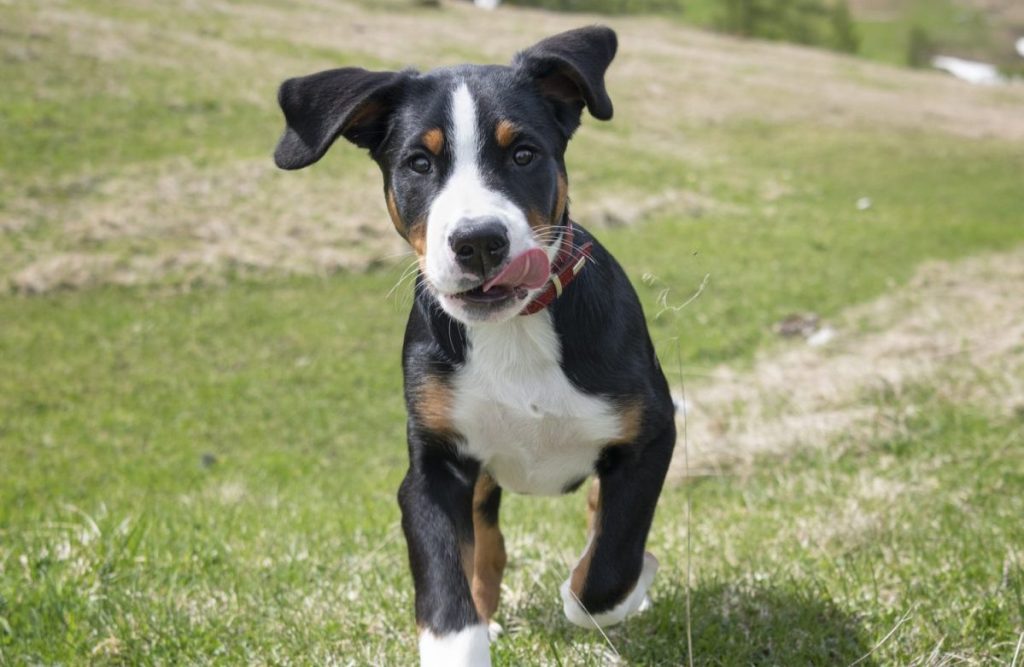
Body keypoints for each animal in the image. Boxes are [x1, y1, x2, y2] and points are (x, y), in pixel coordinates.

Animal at [272, 26, 675, 667]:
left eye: (523, 154)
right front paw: (465, 635)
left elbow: (607, 569)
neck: (512, 331)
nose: (479, 242)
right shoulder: (433, 467)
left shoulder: (650, 434)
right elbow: (445, 592)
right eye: (419, 163)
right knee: (487, 543)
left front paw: (628, 585)